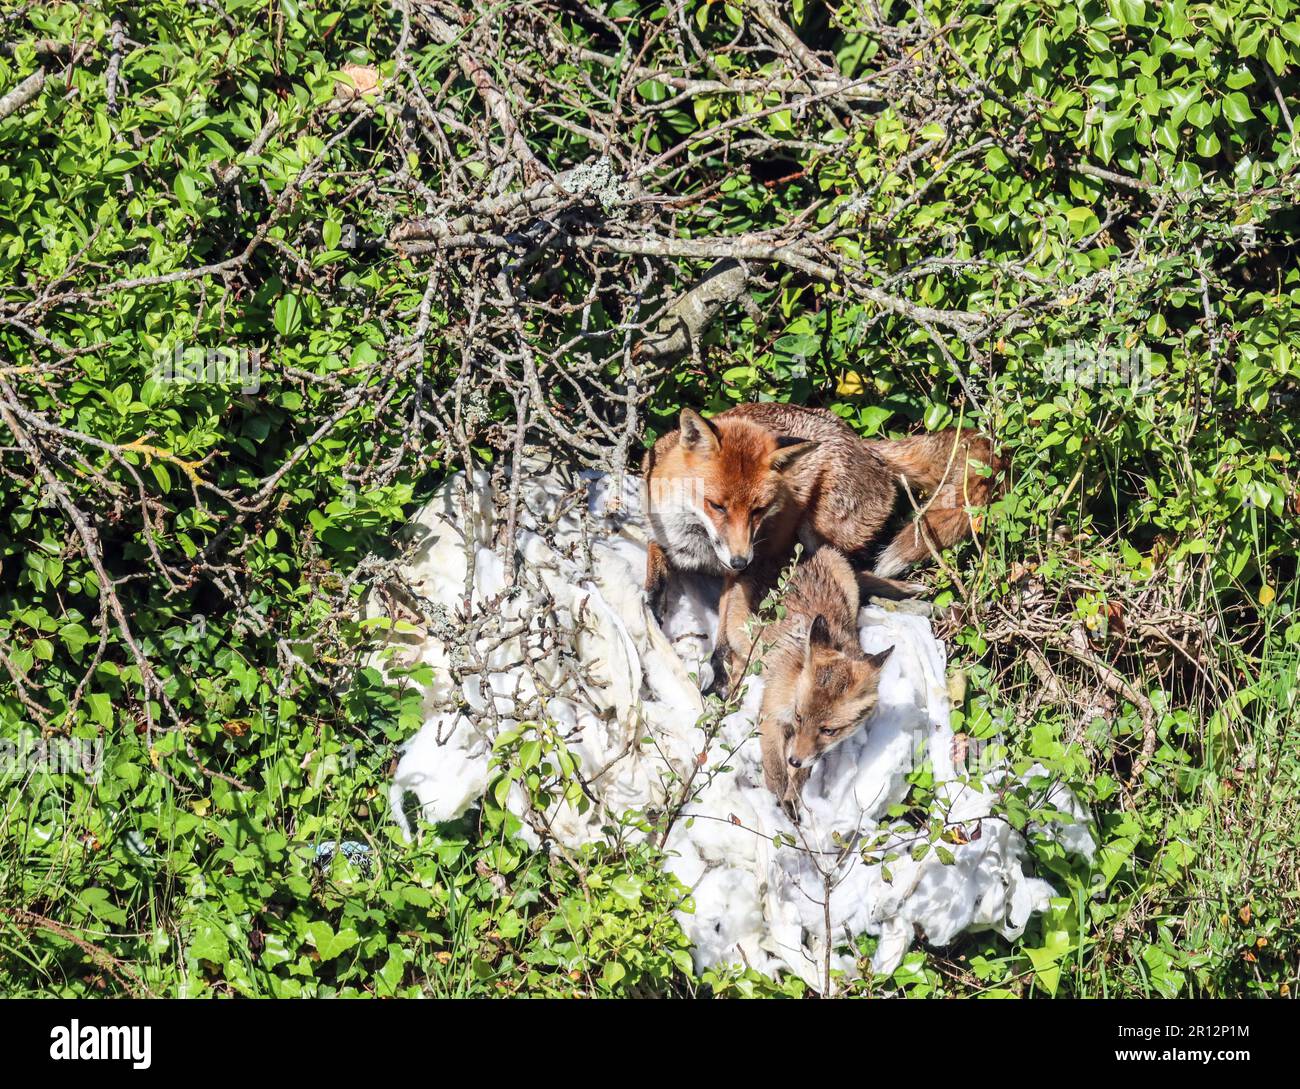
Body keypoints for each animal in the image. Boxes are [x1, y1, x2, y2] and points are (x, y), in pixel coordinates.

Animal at [733, 544, 893, 820]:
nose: (794, 760)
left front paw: (791, 798)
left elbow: (800, 776)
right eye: (799, 717)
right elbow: (775, 771)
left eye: (828, 731)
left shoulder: (809, 750)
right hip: (738, 633)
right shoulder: (772, 714)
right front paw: (778, 802)